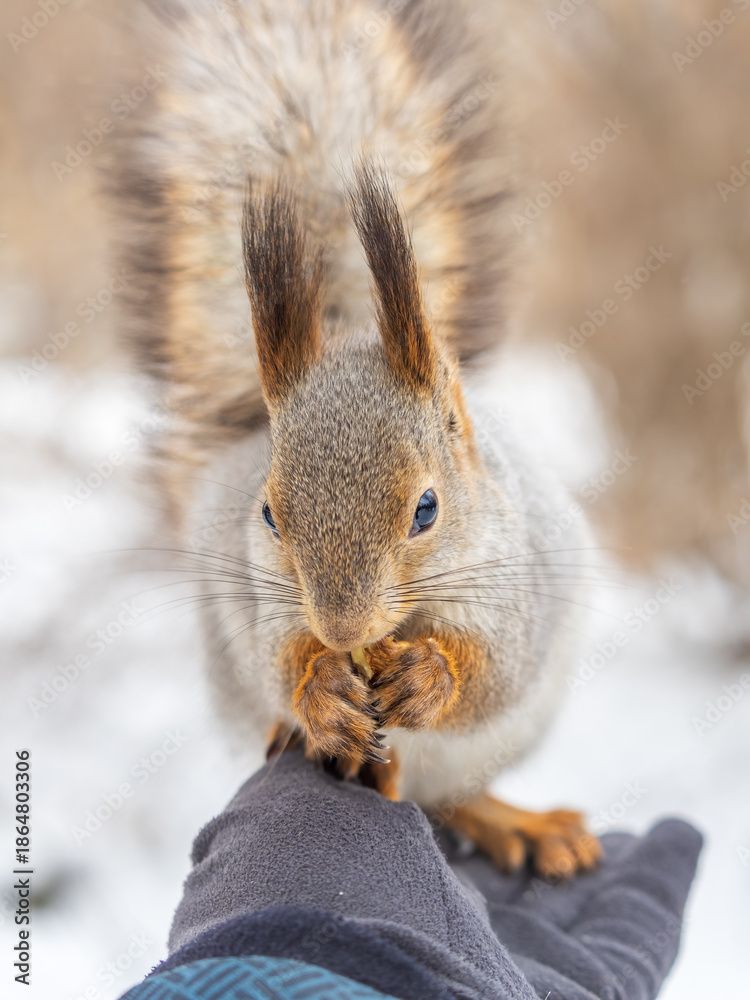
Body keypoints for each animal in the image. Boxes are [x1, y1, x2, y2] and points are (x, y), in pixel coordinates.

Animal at [117, 0, 601, 878]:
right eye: (269, 514)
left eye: (427, 509)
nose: (343, 631)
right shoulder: (258, 594)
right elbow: (277, 657)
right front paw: (317, 689)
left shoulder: (516, 584)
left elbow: (494, 669)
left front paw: (432, 677)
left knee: (458, 794)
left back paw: (521, 823)